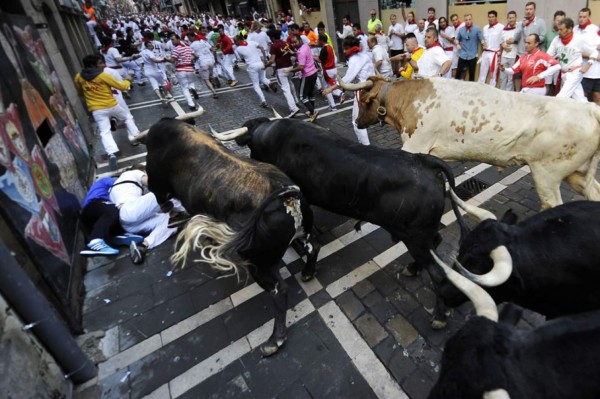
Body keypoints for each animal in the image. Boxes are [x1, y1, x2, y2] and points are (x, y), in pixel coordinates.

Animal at [144, 119, 318, 356]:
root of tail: (288, 193)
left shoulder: (159, 188)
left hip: (259, 263)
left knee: (279, 290)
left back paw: (275, 340)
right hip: (301, 234)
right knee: (313, 248)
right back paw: (308, 273)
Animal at [230, 118, 474, 328]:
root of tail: (425, 161)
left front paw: (308, 270)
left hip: (416, 238)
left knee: (438, 273)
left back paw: (439, 316)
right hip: (422, 235)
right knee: (437, 243)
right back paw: (412, 269)